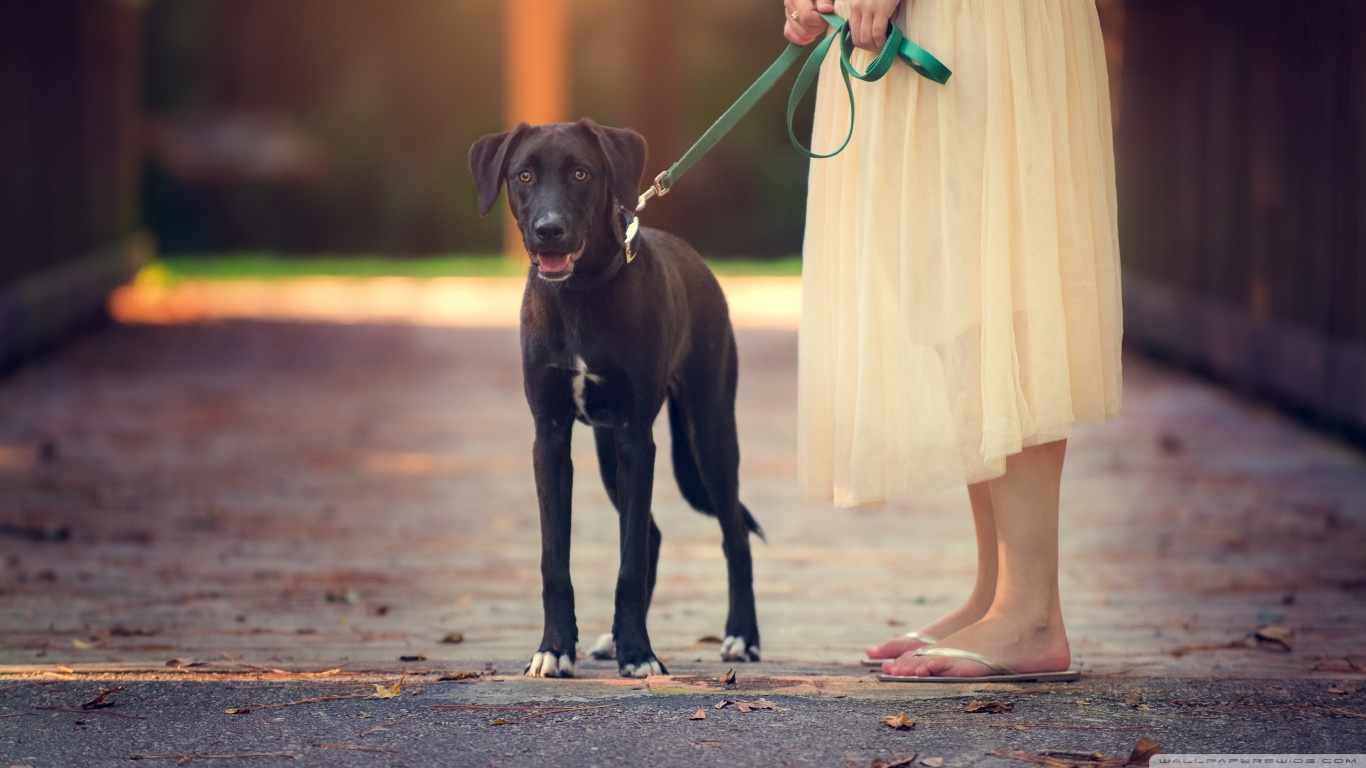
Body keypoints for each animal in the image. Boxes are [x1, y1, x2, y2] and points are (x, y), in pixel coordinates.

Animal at [472, 119, 764, 675]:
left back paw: (742, 636)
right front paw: (554, 648)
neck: (579, 294)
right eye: (523, 175)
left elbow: (630, 560)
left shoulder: (636, 437)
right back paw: (611, 639)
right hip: (609, 454)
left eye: (581, 173)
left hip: (710, 429)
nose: (548, 229)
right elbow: (555, 559)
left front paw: (640, 653)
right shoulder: (551, 437)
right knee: (653, 533)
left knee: (733, 534)